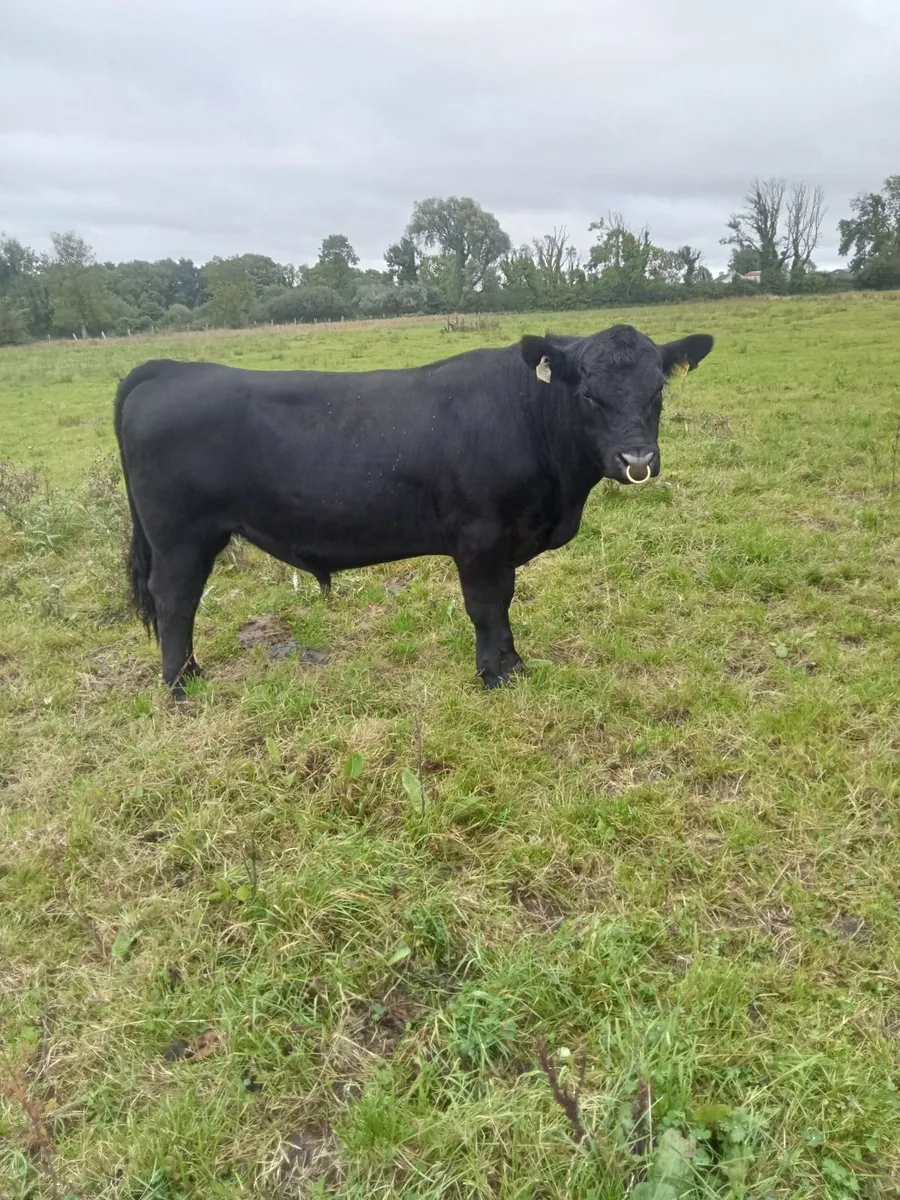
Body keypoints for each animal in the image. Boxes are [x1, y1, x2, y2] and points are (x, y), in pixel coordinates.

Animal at [113, 324, 713, 697]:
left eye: (658, 390)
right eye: (588, 394)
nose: (637, 460)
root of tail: (169, 367)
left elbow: (504, 603)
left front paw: (513, 665)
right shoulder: (479, 537)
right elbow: (487, 606)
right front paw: (495, 675)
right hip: (180, 537)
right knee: (175, 601)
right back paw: (182, 683)